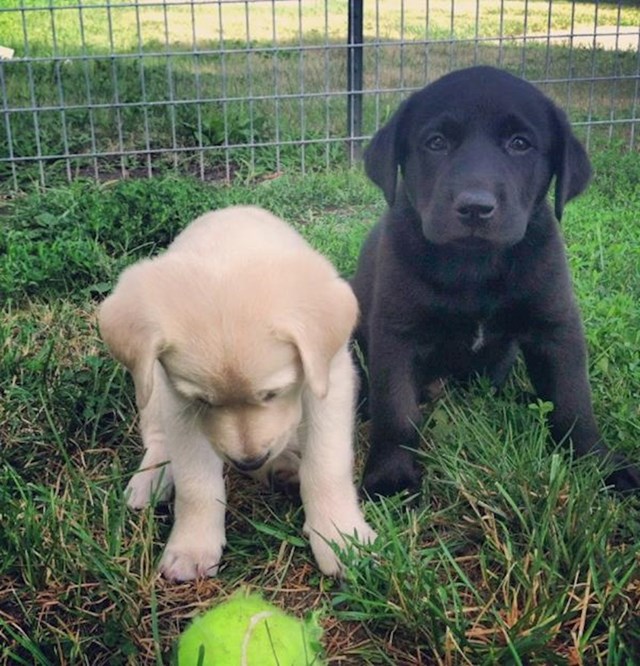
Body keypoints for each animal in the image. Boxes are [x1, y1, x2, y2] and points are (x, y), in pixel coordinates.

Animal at [99, 205, 376, 580]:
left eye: (274, 394)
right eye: (203, 401)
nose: (250, 461)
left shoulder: (329, 380)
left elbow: (326, 465)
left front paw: (341, 537)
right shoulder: (179, 403)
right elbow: (196, 482)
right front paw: (192, 547)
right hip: (150, 387)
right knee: (157, 439)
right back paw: (154, 478)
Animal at [356, 66, 640, 492]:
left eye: (520, 144)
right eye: (436, 142)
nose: (476, 207)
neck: (474, 265)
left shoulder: (556, 327)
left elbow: (573, 401)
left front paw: (599, 464)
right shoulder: (396, 332)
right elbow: (395, 410)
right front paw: (390, 477)